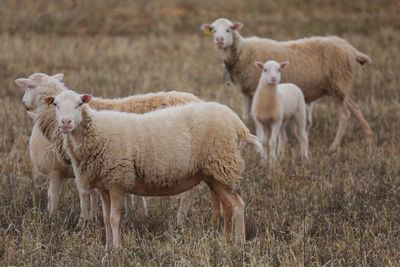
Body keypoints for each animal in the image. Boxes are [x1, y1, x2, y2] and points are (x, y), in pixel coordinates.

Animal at [16, 73, 202, 226]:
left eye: (29, 86)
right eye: (55, 103)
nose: (23, 103)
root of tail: (199, 101)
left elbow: (77, 192)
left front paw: (77, 222)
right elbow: (95, 193)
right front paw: (100, 217)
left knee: (187, 193)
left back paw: (179, 221)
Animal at [44, 91, 262, 250]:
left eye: (79, 104)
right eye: (55, 105)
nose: (65, 123)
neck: (95, 133)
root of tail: (237, 123)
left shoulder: (116, 181)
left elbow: (114, 218)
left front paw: (116, 249)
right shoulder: (103, 185)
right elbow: (106, 219)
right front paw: (107, 247)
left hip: (222, 164)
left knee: (238, 205)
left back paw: (239, 243)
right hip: (215, 174)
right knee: (228, 205)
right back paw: (226, 241)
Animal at [202, 17, 374, 153]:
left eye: (229, 29)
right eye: (213, 30)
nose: (219, 40)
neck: (240, 52)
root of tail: (350, 49)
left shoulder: (254, 89)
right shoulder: (247, 92)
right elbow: (245, 116)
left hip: (338, 82)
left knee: (344, 114)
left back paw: (334, 146)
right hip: (339, 85)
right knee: (355, 107)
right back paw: (368, 136)